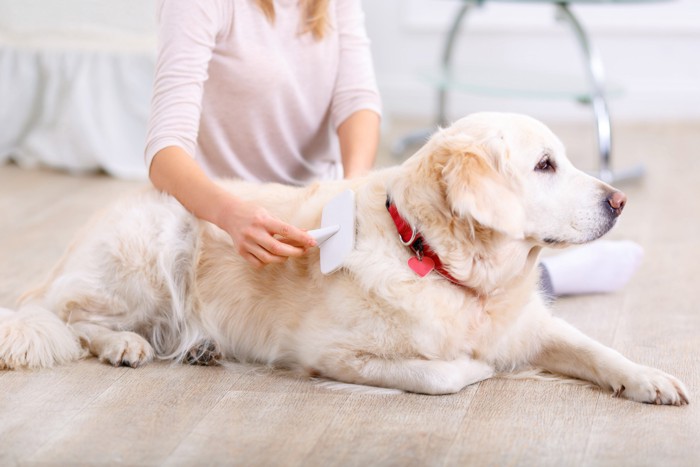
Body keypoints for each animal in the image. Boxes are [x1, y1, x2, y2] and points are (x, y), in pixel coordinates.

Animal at [0, 112, 688, 406]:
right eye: (545, 165)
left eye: (562, 159)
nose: (619, 201)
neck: (436, 260)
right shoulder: (329, 353)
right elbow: (444, 373)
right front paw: (477, 367)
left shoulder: (531, 325)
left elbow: (595, 349)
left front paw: (649, 379)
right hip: (153, 244)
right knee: (70, 315)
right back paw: (124, 344)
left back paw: (199, 347)